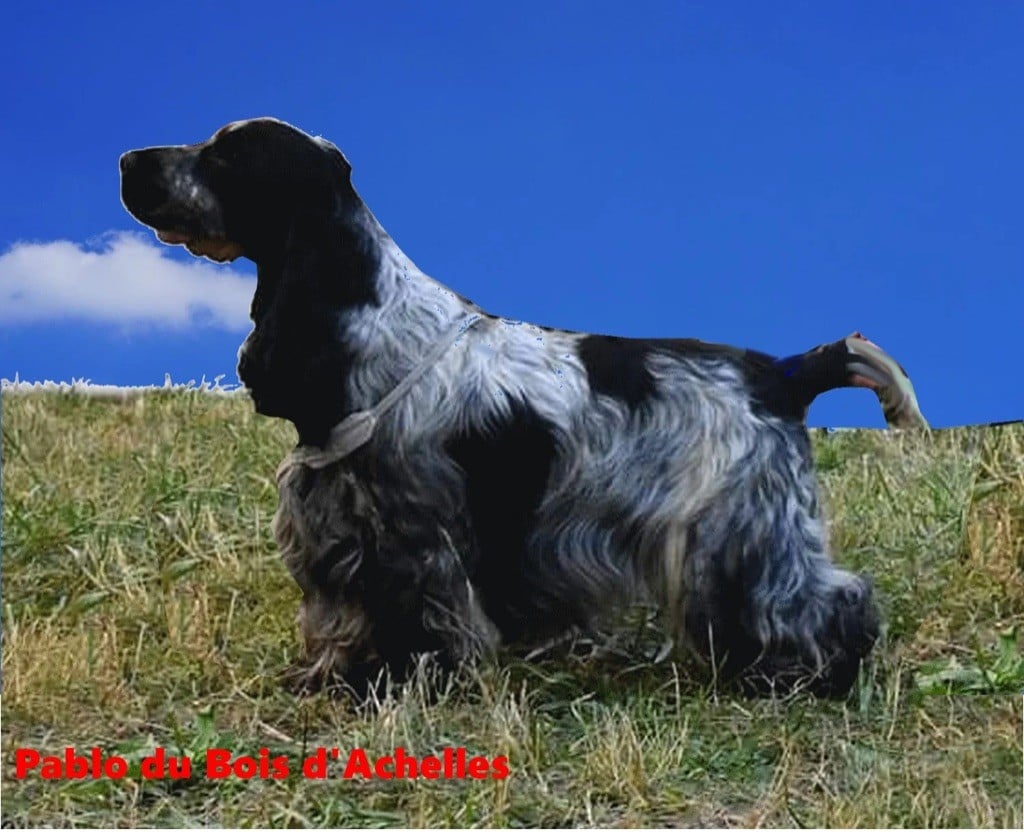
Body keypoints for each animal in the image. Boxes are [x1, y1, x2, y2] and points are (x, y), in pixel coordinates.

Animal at [120, 117, 927, 699]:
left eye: (224, 157)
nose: (128, 160)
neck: (363, 314)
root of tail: (782, 373)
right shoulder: (339, 533)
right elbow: (341, 617)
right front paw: (327, 677)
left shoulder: (413, 539)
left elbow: (419, 619)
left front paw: (408, 687)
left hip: (743, 531)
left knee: (825, 602)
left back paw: (812, 676)